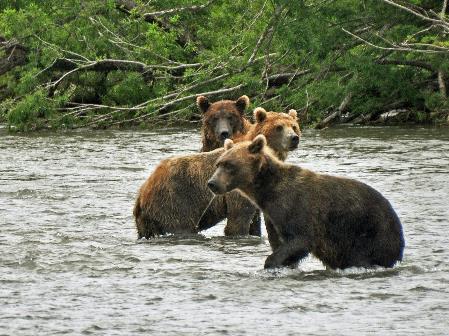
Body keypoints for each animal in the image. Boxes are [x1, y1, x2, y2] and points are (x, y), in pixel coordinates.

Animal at [133, 107, 300, 239]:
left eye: (294, 126)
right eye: (279, 127)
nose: (294, 138)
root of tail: (142, 192)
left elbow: (254, 221)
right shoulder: (236, 188)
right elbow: (238, 221)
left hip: (148, 220)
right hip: (174, 200)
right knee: (182, 225)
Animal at [206, 135, 406, 270]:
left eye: (229, 165)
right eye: (218, 163)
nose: (212, 183)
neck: (267, 192)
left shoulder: (298, 208)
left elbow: (301, 239)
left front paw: (271, 263)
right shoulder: (273, 217)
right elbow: (280, 244)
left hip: (369, 232)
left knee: (361, 256)